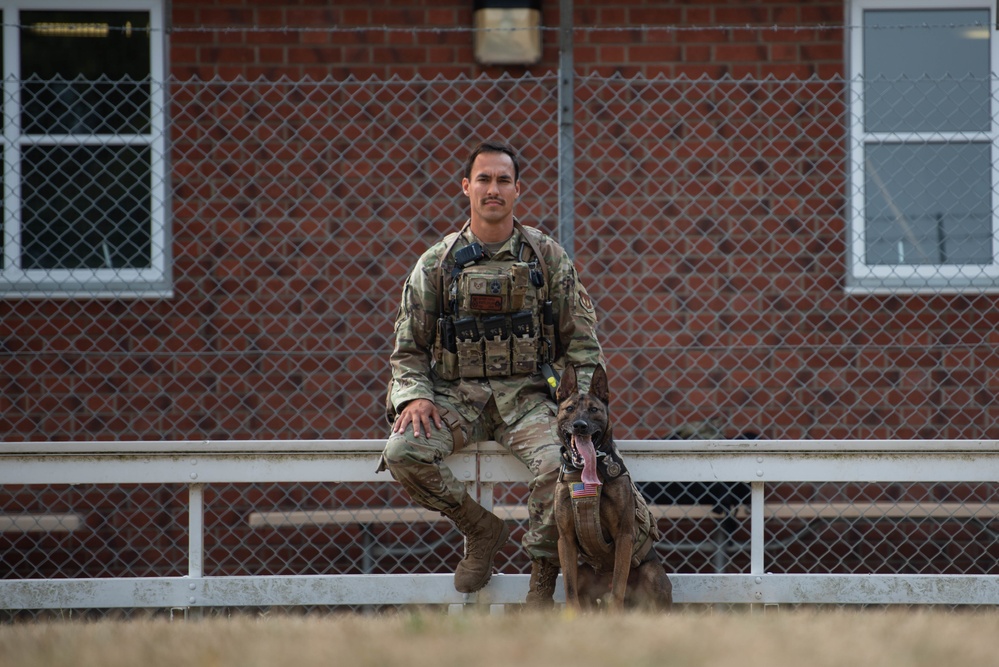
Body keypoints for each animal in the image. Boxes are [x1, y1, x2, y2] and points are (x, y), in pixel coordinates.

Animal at [556, 366, 672, 612]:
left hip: (652, 573)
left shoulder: (624, 535)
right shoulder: (566, 539)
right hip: (584, 573)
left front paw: (615, 614)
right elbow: (569, 588)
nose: (580, 425)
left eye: (594, 410)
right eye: (570, 409)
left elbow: (619, 582)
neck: (587, 471)